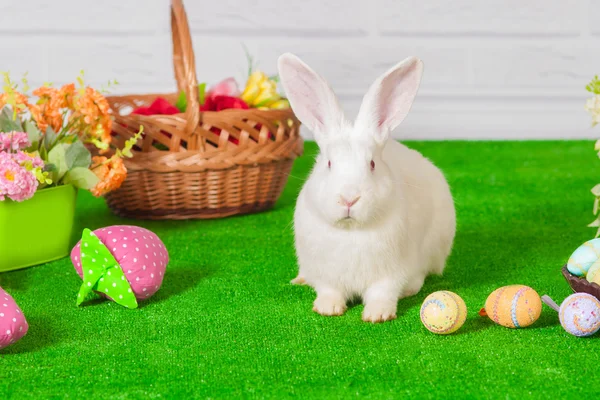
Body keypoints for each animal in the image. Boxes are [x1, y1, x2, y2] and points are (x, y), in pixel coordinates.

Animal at [278, 52, 458, 322]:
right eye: (328, 163)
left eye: (372, 164)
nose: (349, 199)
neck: (352, 230)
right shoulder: (326, 275)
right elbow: (329, 290)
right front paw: (328, 308)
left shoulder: (391, 275)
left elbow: (383, 293)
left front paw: (377, 315)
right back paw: (300, 279)